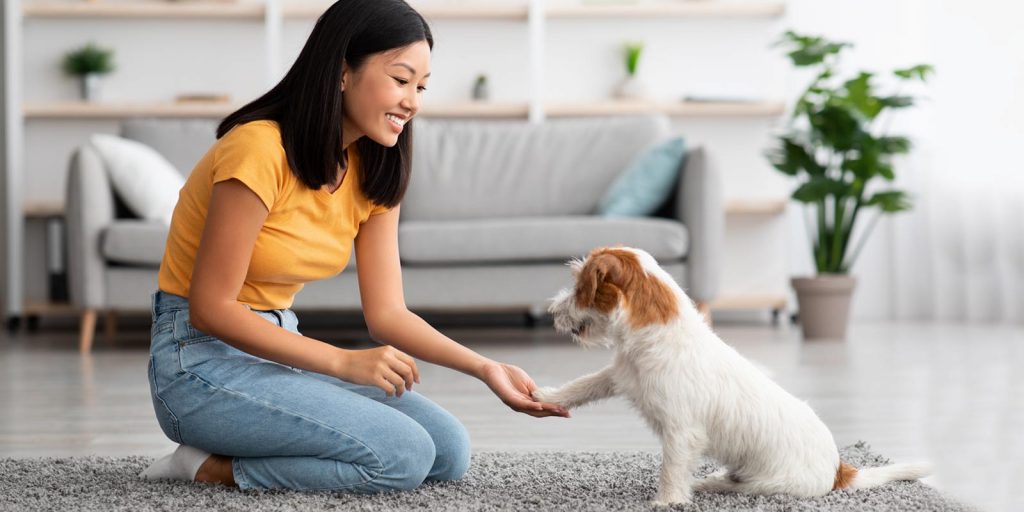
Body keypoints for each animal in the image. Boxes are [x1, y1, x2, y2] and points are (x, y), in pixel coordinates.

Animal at [532, 246, 933, 503]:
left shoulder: (682, 432)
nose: (550, 311)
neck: (660, 331)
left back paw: (707, 484)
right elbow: (583, 385)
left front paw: (667, 502)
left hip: (765, 484)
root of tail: (839, 468)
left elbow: (671, 470)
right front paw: (545, 397)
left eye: (580, 286)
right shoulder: (619, 375)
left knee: (736, 487)